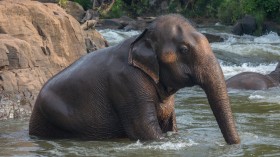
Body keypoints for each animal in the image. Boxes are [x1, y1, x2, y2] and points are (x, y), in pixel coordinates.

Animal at [29, 14, 241, 145]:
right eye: (184, 49)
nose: (234, 145)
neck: (140, 37)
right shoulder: (126, 83)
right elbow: (145, 130)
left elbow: (170, 125)